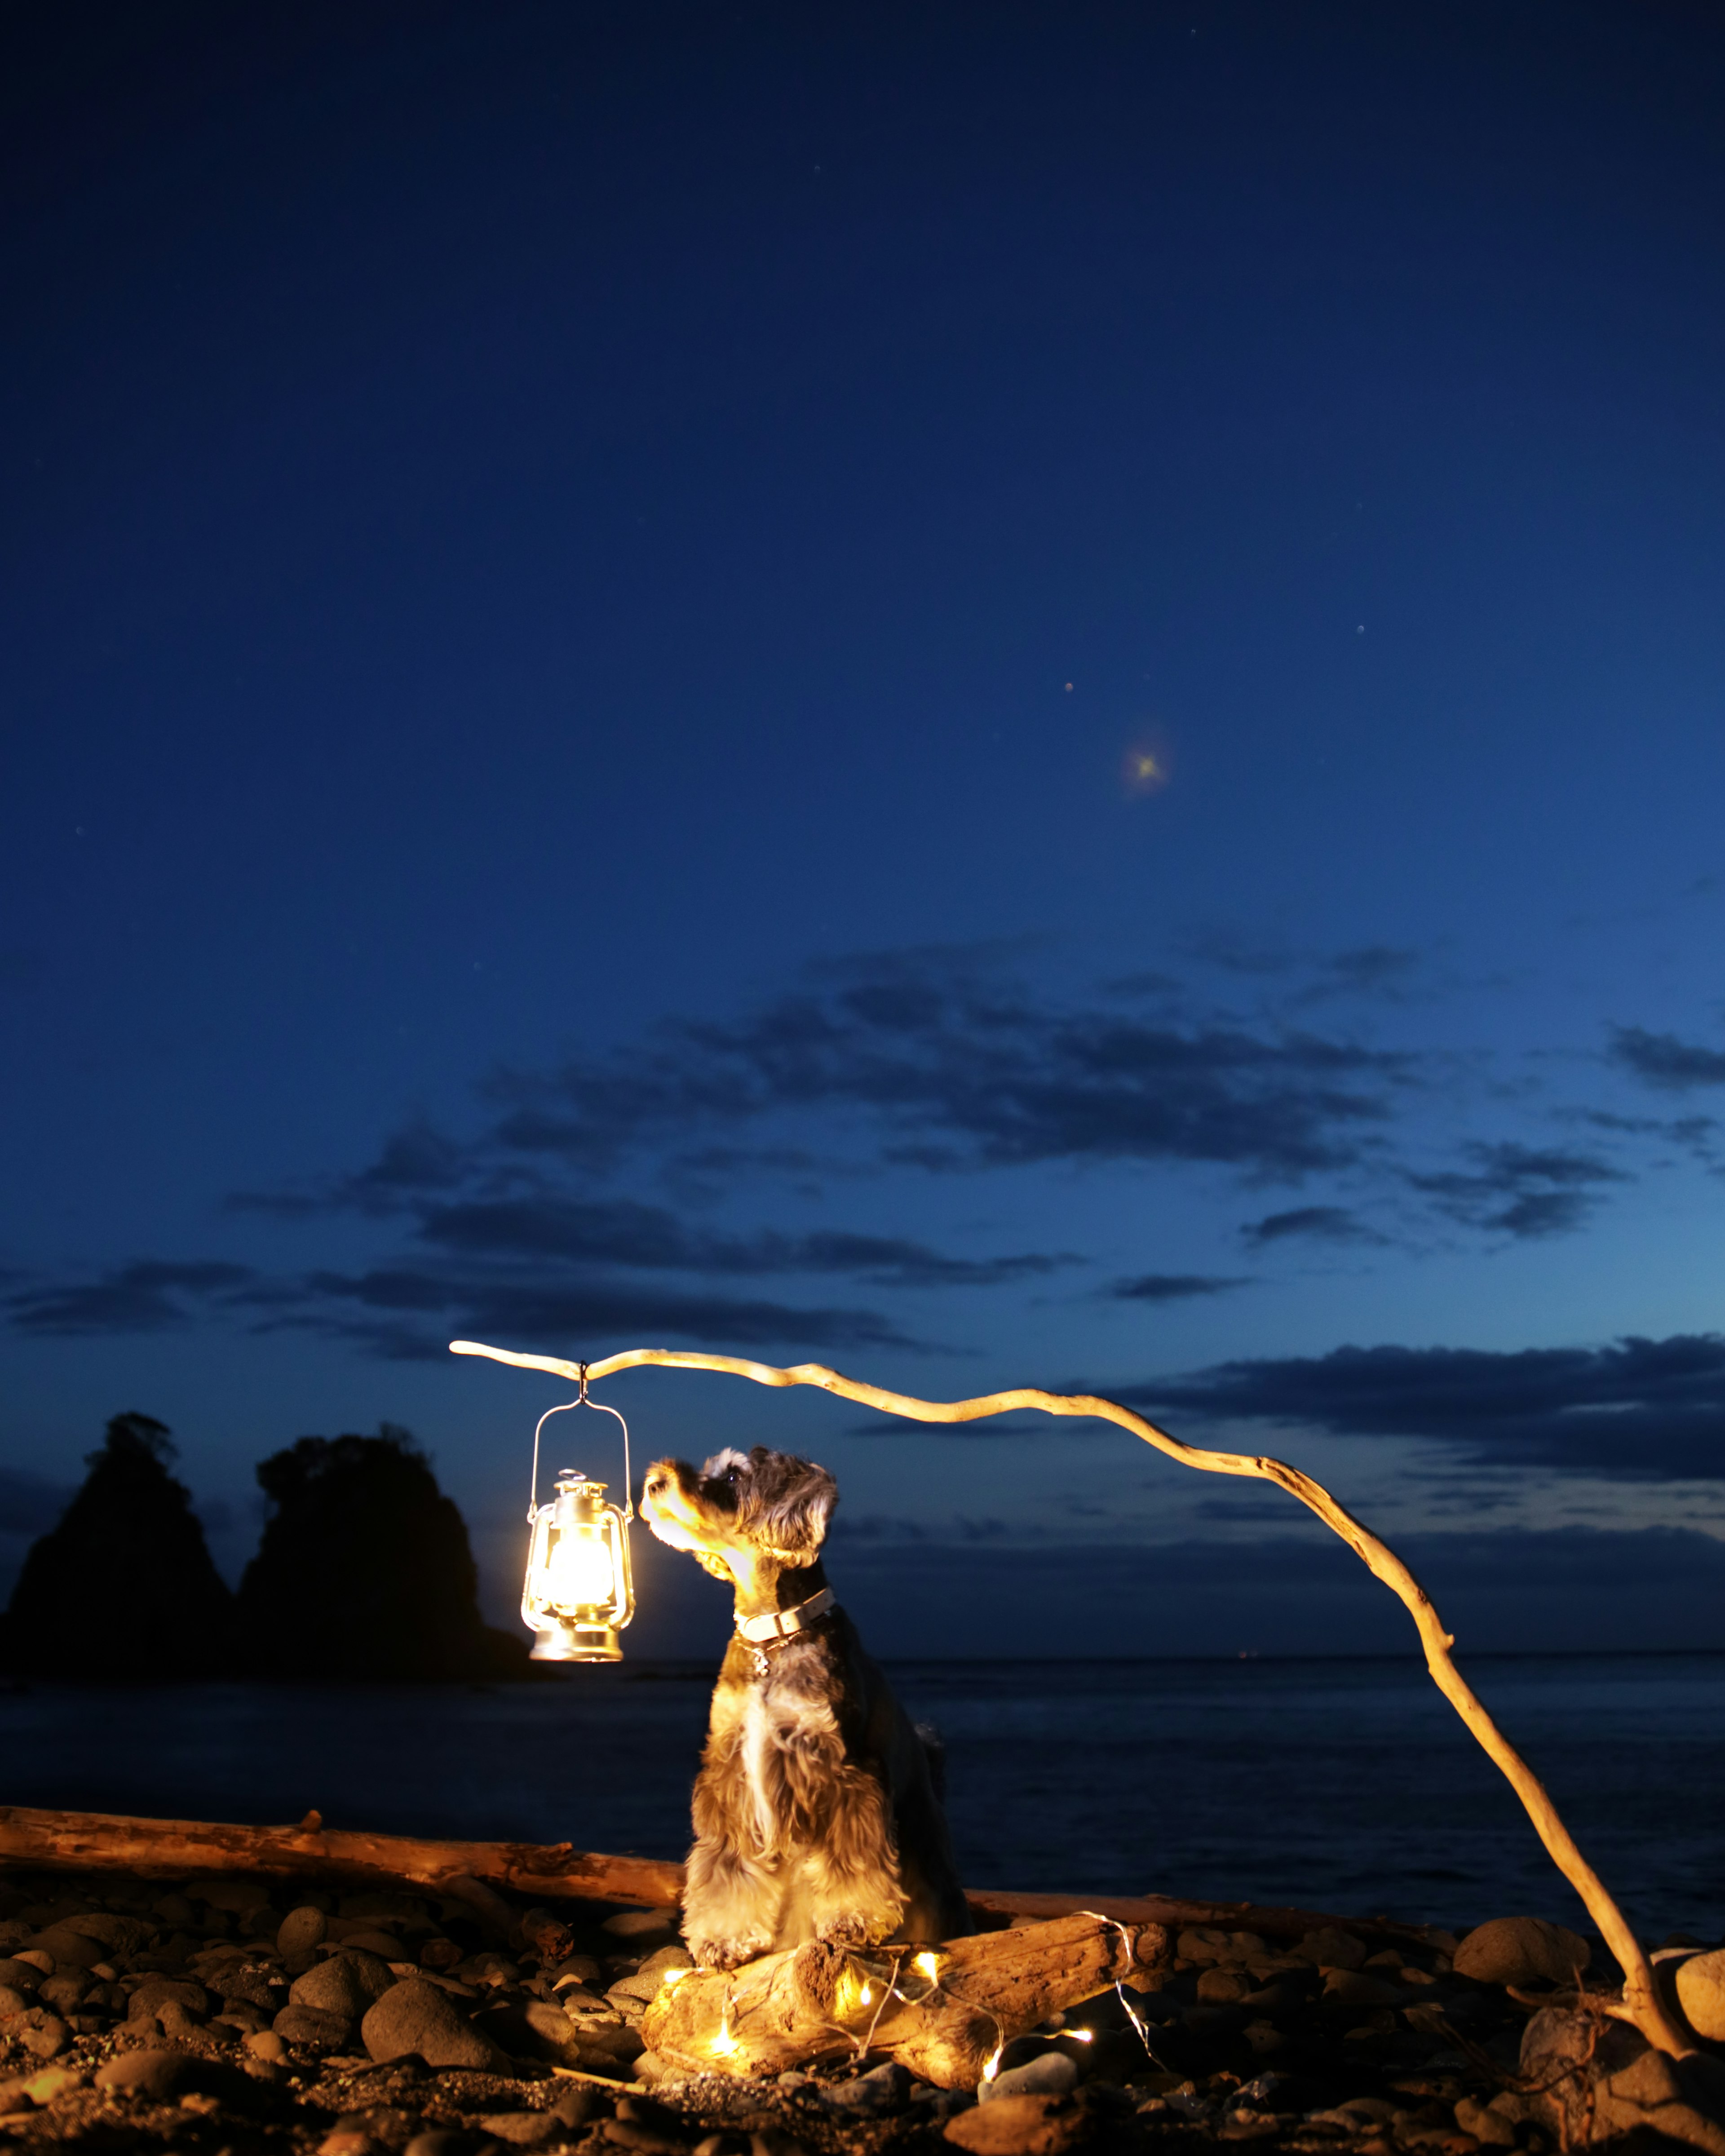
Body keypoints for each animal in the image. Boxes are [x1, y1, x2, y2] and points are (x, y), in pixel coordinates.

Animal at [642, 1448, 979, 1974]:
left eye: (733, 1475)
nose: (654, 1481)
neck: (774, 1634)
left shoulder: (845, 1771)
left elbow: (852, 1859)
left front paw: (852, 1920)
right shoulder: (727, 1772)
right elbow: (725, 1864)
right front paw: (724, 1938)